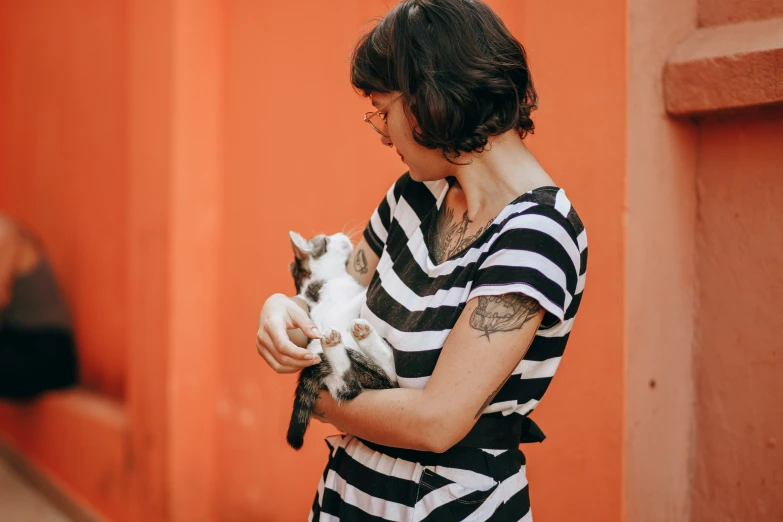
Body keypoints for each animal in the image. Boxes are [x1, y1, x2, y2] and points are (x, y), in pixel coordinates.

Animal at [286, 230, 398, 448]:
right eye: (326, 240)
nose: (340, 235)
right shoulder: (333, 312)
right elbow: (356, 300)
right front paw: (367, 290)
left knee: (350, 386)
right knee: (361, 382)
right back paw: (350, 337)